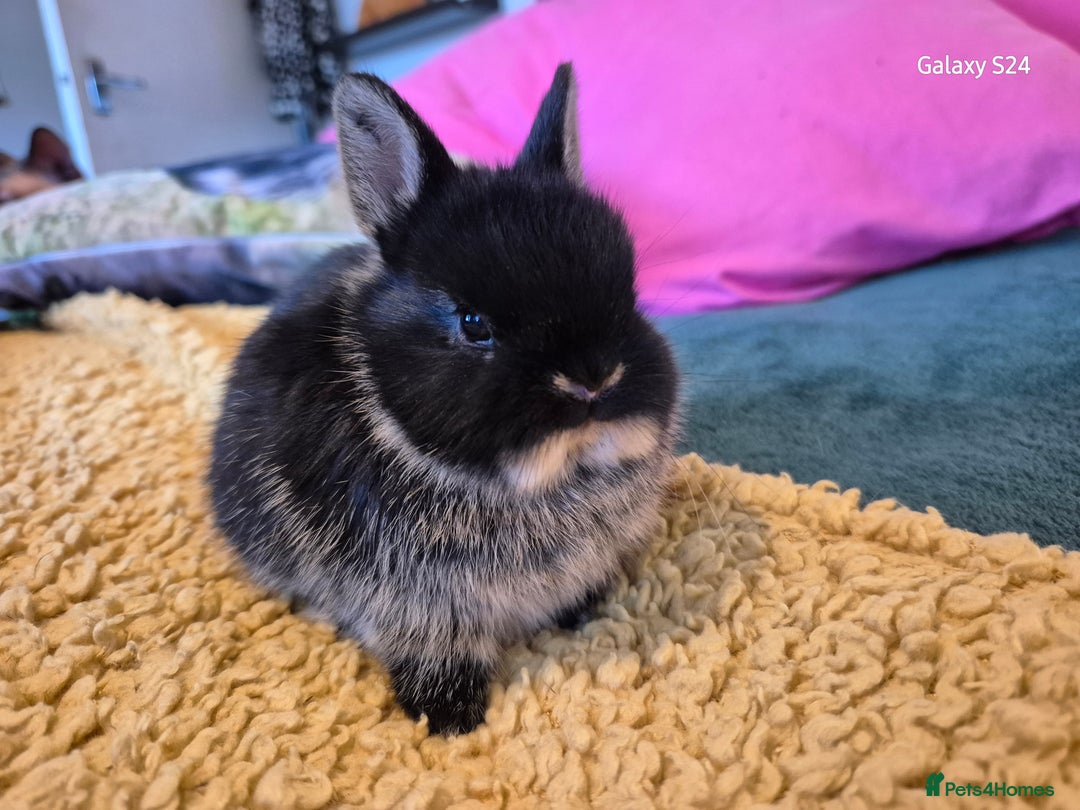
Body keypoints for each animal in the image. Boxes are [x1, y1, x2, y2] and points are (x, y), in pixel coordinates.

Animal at [209, 64, 680, 735]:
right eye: (473, 323)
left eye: (630, 292)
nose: (593, 380)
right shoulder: (417, 607)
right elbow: (434, 649)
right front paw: (450, 716)